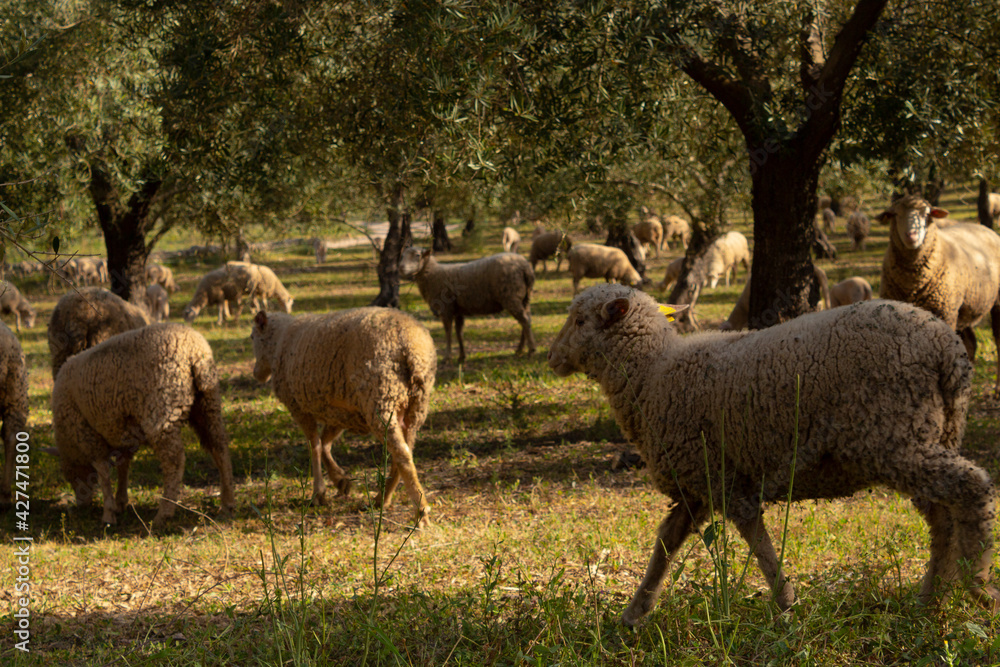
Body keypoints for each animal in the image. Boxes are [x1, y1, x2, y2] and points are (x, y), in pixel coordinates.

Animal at [53, 323, 235, 526]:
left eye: (69, 475)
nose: (81, 505)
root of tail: (194, 351)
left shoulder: (86, 433)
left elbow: (103, 471)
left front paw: (108, 513)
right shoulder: (122, 432)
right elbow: (123, 466)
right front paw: (120, 502)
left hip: (162, 411)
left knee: (174, 460)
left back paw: (164, 513)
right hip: (208, 403)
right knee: (219, 447)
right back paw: (228, 504)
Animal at [251, 308, 436, 527]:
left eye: (252, 337)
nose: (255, 374)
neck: (279, 342)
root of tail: (411, 346)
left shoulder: (298, 407)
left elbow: (314, 445)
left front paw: (319, 493)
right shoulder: (338, 412)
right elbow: (324, 444)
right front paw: (340, 480)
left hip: (381, 399)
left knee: (402, 454)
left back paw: (420, 511)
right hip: (415, 407)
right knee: (405, 451)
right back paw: (382, 499)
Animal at [399, 247, 536, 364]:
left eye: (417, 255)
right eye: (402, 255)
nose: (401, 268)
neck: (432, 274)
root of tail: (525, 267)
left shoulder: (446, 309)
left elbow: (448, 333)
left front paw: (447, 357)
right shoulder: (459, 311)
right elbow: (459, 332)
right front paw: (461, 356)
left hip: (511, 297)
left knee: (524, 320)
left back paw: (531, 351)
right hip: (525, 298)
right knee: (526, 321)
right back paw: (520, 350)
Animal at [549, 284, 1000, 624]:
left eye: (579, 320)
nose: (552, 358)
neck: (652, 373)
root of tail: (946, 347)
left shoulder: (724, 480)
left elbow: (755, 538)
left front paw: (785, 603)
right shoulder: (697, 483)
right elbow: (666, 544)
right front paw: (634, 613)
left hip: (896, 437)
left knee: (972, 487)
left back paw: (978, 587)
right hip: (927, 434)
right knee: (943, 518)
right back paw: (931, 599)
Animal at [878, 194, 1000, 394]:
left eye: (926, 214)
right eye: (895, 214)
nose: (911, 236)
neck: (913, 284)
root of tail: (985, 228)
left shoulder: (944, 313)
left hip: (991, 303)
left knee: (997, 339)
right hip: (962, 308)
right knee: (970, 344)